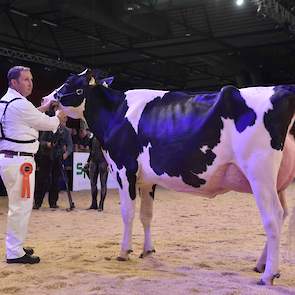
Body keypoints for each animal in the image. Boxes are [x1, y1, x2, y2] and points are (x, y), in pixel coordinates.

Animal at [43, 69, 295, 286]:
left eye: (69, 82)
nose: (45, 98)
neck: (116, 113)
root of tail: (284, 88)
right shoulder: (147, 180)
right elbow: (146, 215)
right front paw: (147, 250)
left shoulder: (125, 170)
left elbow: (128, 213)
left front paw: (124, 251)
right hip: (278, 181)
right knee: (283, 214)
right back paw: (262, 265)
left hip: (259, 173)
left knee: (273, 217)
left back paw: (268, 275)